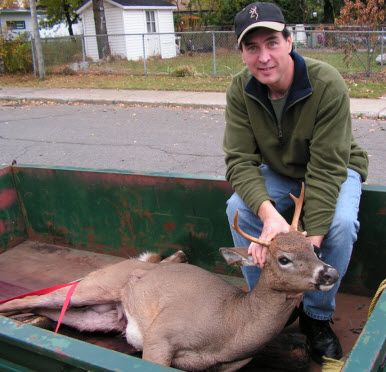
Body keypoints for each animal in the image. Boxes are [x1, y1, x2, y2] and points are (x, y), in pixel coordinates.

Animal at [0, 184, 338, 372]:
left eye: (313, 248)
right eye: (284, 259)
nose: (331, 272)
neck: (230, 327)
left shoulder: (228, 366)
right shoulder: (162, 334)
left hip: (101, 317)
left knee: (47, 309)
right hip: (98, 285)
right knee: (34, 297)